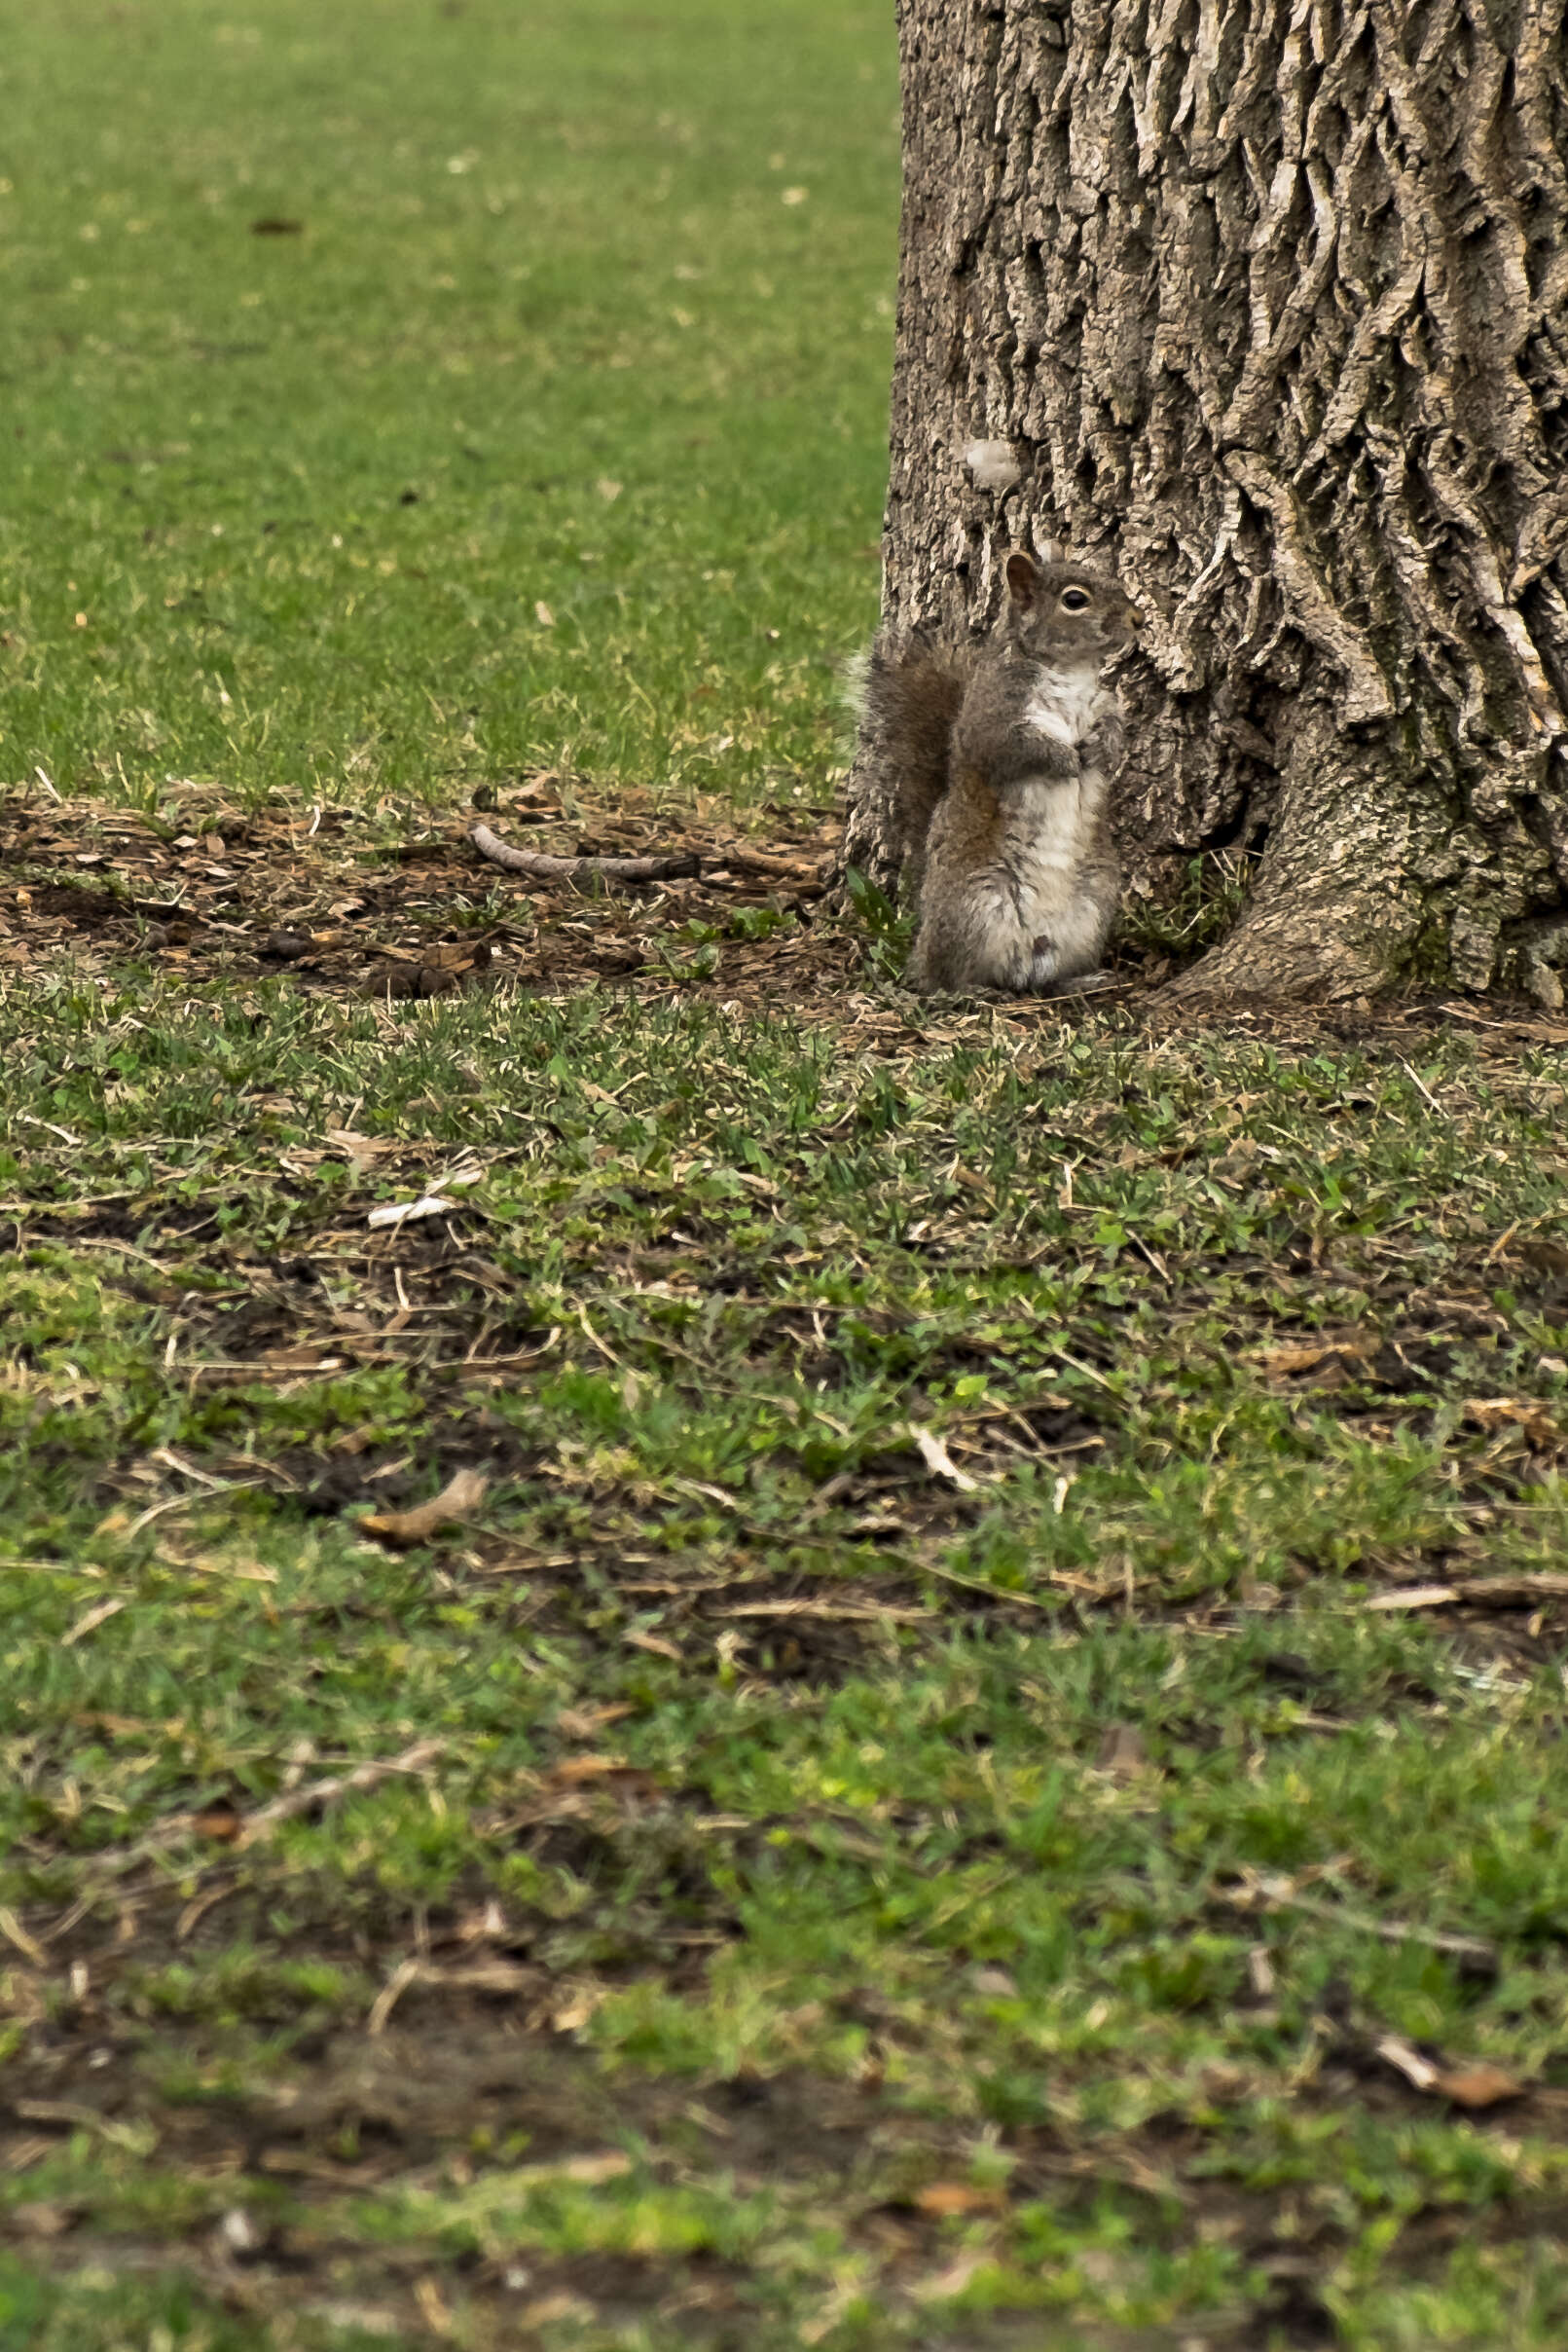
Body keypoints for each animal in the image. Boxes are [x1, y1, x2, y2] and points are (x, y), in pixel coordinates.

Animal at [859, 550, 1142, 992]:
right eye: (1075, 600)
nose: (1138, 619)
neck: (1071, 673)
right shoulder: (993, 718)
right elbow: (1016, 748)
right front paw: (1064, 759)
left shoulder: (1105, 703)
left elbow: (1115, 727)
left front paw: (1102, 747)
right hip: (972, 906)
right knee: (946, 975)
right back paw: (966, 990)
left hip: (1092, 907)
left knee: (1045, 979)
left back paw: (1079, 980)